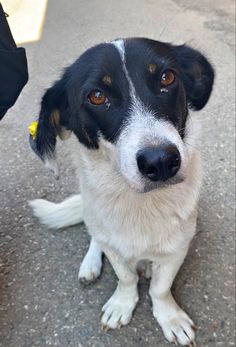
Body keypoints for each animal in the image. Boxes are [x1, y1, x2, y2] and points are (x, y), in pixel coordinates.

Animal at [29, 37, 214, 346]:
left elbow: (160, 288)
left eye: (167, 77)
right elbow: (125, 277)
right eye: (96, 96)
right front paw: (121, 304)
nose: (160, 162)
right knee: (94, 237)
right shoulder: (113, 245)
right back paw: (90, 265)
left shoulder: (178, 247)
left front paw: (170, 317)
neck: (140, 204)